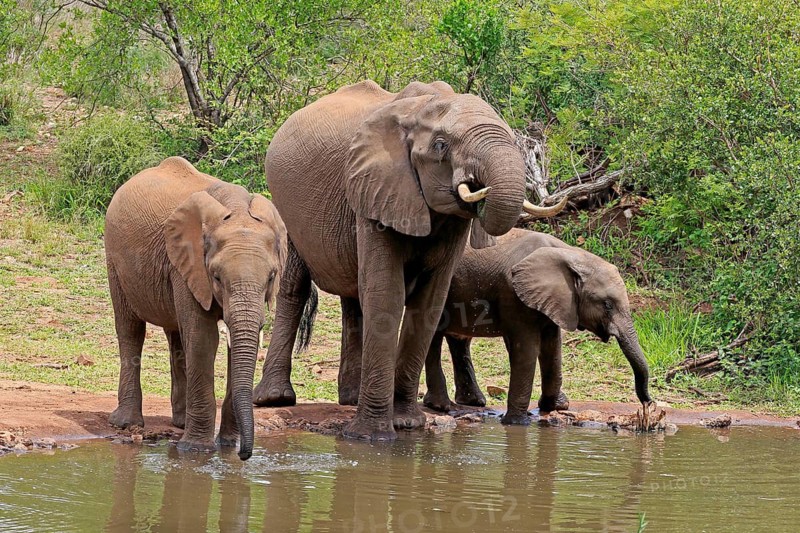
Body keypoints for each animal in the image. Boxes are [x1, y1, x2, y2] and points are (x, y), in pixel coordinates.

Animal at [104, 156, 286, 460]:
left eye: (271, 277)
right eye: (216, 277)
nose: (245, 455)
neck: (237, 209)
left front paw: (227, 445)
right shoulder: (187, 265)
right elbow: (203, 338)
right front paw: (197, 451)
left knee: (176, 334)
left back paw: (180, 422)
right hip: (114, 257)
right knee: (130, 329)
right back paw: (126, 423)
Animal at [252, 80, 564, 441]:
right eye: (441, 146)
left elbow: (429, 301)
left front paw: (406, 425)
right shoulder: (377, 189)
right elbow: (387, 292)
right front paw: (371, 437)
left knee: (354, 297)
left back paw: (351, 398)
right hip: (288, 209)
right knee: (296, 287)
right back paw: (275, 398)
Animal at [422, 228, 652, 424]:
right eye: (607, 305)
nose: (647, 403)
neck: (571, 254)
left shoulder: (554, 301)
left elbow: (552, 346)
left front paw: (555, 406)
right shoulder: (514, 295)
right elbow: (526, 348)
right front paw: (517, 422)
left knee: (458, 339)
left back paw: (473, 402)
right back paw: (442, 407)